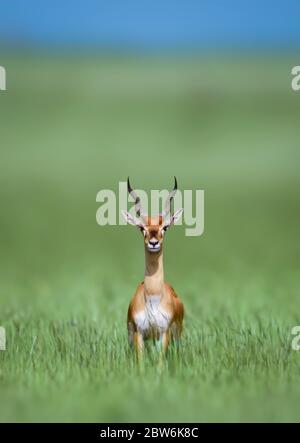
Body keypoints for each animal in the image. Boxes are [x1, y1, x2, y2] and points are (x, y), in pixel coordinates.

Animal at [122, 178, 185, 360]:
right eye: (142, 228)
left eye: (165, 227)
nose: (153, 243)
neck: (153, 296)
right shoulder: (139, 334)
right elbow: (140, 361)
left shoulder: (164, 334)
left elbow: (160, 362)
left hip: (176, 335)